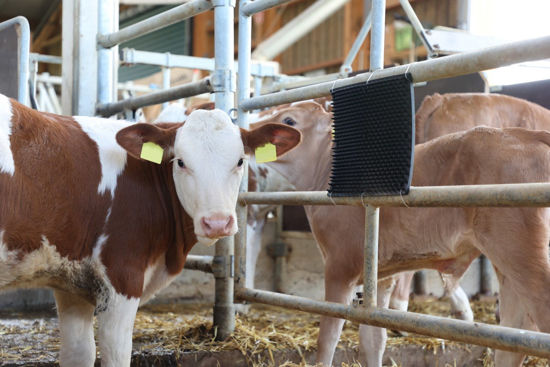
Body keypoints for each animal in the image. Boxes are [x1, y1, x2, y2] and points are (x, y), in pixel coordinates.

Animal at [0, 95, 302, 367]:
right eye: (180, 161)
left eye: (240, 161)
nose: (217, 222)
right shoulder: (123, 274)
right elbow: (116, 353)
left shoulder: (72, 282)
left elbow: (79, 353)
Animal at [260, 101, 550, 367]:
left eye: (289, 120)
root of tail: (528, 135)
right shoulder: (380, 274)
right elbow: (372, 339)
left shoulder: (340, 266)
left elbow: (327, 338)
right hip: (508, 264)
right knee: (514, 334)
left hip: (521, 251)